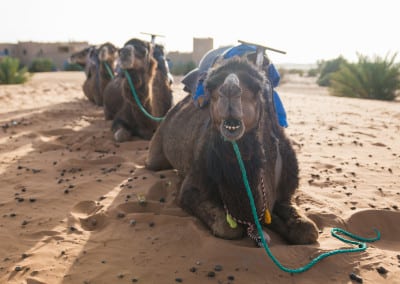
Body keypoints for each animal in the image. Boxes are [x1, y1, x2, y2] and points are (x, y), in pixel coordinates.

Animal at [147, 57, 318, 244]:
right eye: (210, 86)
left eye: (257, 87)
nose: (230, 89)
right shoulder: (191, 188)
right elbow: (227, 227)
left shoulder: (285, 194)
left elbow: (308, 230)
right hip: (157, 147)